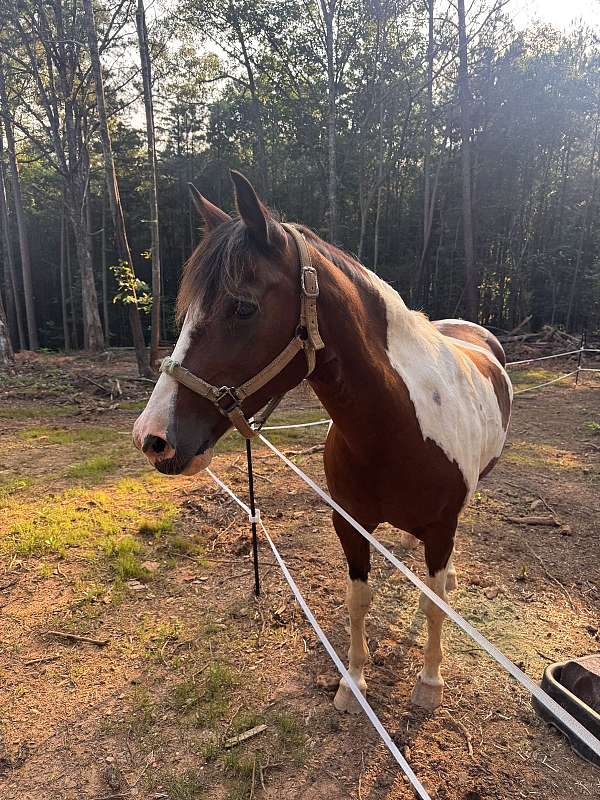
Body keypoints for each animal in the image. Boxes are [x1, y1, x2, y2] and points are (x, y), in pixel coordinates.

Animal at [133, 170, 512, 713]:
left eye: (243, 307)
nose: (152, 438)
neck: (396, 429)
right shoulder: (350, 523)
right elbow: (358, 599)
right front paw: (353, 683)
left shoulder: (441, 529)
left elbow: (434, 602)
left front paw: (428, 683)